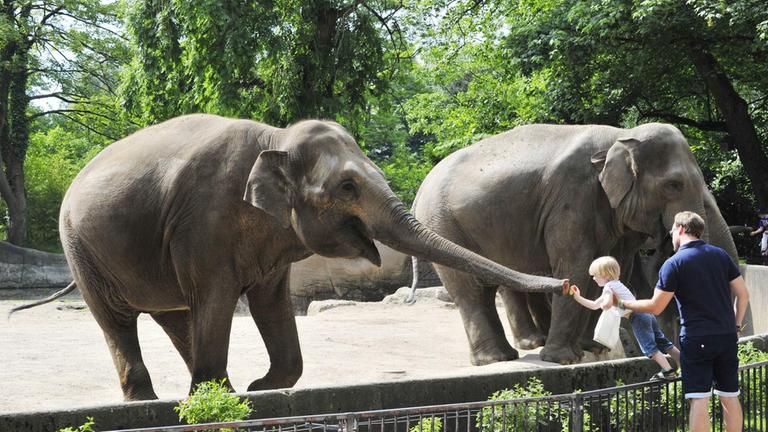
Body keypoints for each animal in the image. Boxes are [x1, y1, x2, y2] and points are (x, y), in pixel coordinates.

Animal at [9, 113, 568, 400]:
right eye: (347, 186)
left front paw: (260, 388)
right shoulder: (205, 220)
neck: (275, 137)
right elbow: (219, 296)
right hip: (80, 249)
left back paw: (210, 387)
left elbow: (269, 302)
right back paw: (161, 398)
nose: (568, 285)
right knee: (119, 319)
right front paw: (230, 397)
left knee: (176, 314)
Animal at [412, 121, 736, 364]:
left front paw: (592, 348)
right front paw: (562, 359)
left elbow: (610, 268)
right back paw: (498, 358)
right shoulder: (573, 197)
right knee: (471, 290)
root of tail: (420, 190)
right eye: (673, 185)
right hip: (443, 224)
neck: (621, 136)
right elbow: (577, 265)